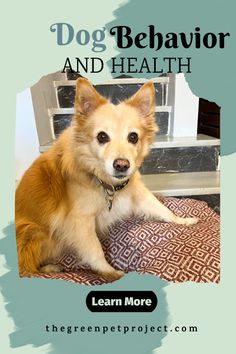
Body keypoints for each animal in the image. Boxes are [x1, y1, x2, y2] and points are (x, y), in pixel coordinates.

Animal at [15, 78, 198, 282]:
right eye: (102, 136)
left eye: (133, 137)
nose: (122, 165)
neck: (105, 183)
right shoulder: (81, 221)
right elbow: (95, 250)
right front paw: (109, 272)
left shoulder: (137, 193)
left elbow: (162, 209)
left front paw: (182, 221)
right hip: (32, 231)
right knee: (25, 268)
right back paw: (48, 269)